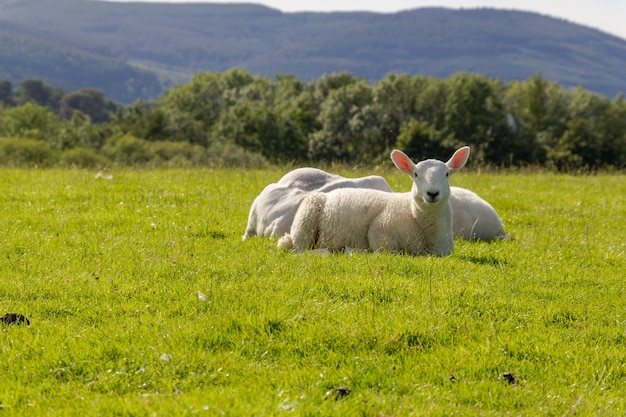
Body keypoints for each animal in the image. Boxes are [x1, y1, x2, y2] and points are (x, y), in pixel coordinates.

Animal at [276, 146, 468, 256]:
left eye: (447, 174)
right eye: (415, 174)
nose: (432, 193)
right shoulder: (380, 234)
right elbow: (385, 252)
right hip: (306, 220)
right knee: (301, 251)